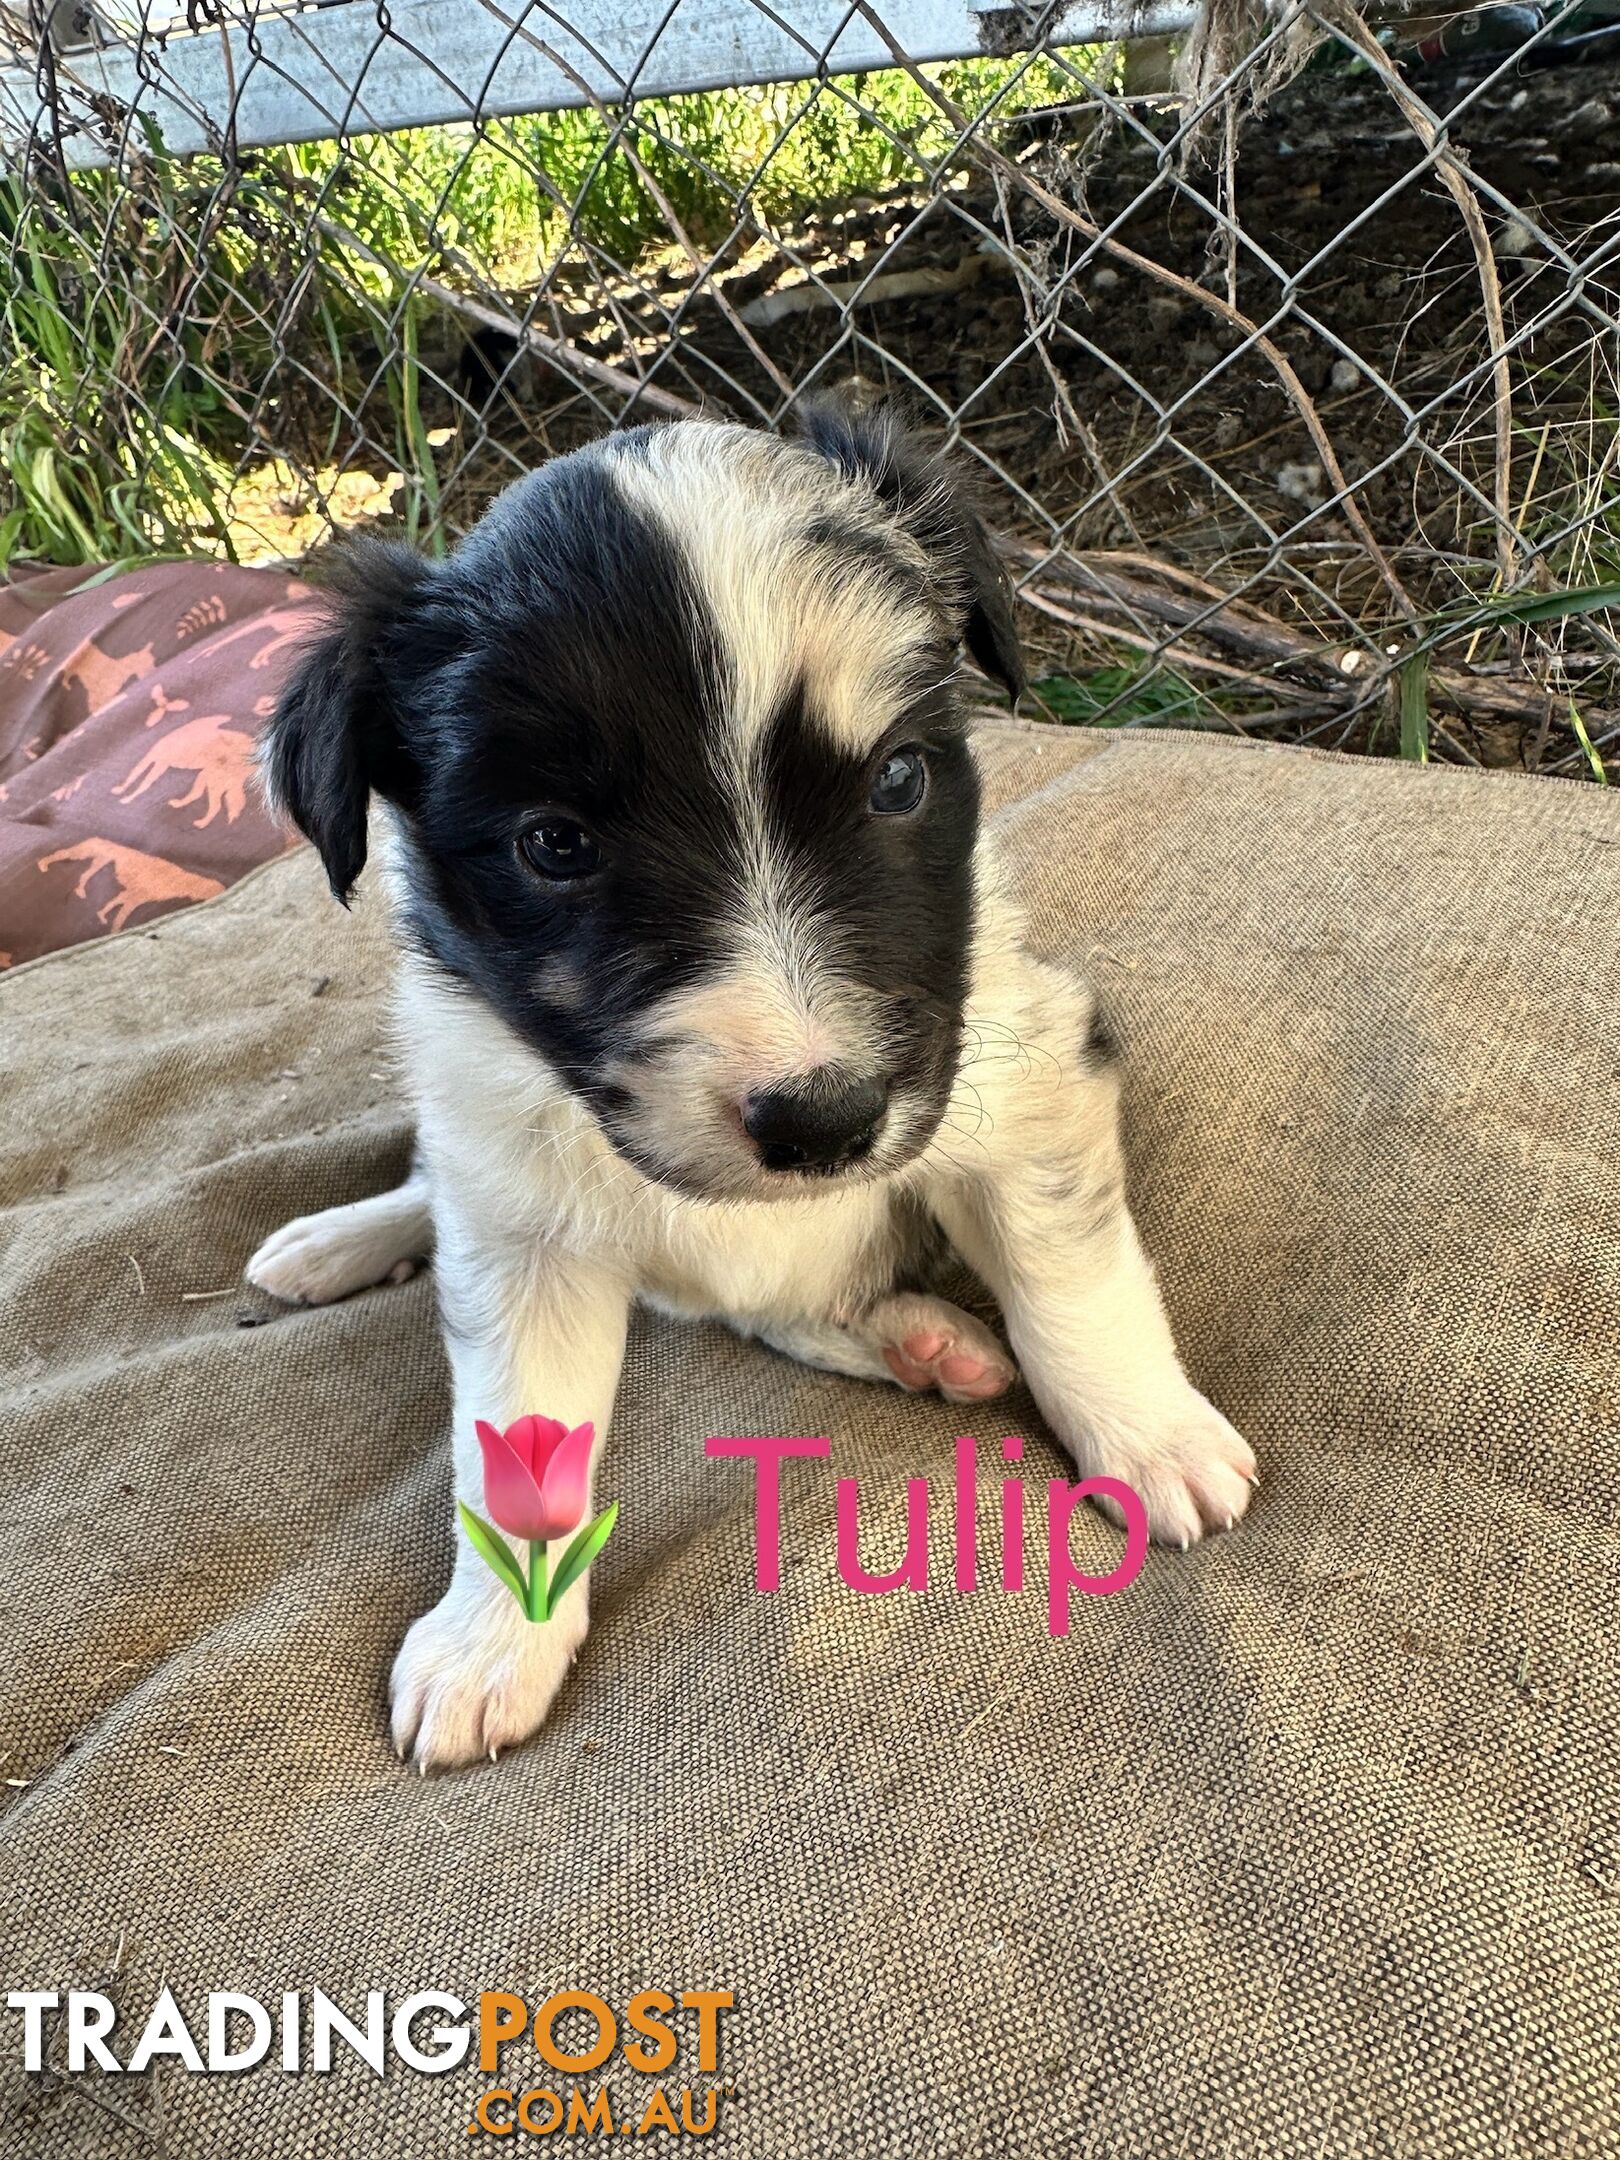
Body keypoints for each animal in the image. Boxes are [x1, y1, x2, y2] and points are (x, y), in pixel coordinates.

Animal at [247, 406, 1261, 1771]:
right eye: (553, 845)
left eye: (898, 781)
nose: (824, 1119)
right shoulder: (521, 1234)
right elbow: (514, 1445)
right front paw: (491, 1640)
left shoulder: (1023, 1073)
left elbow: (1070, 1283)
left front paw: (1150, 1436)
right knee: (448, 1191)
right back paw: (333, 1241)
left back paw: (924, 1339)